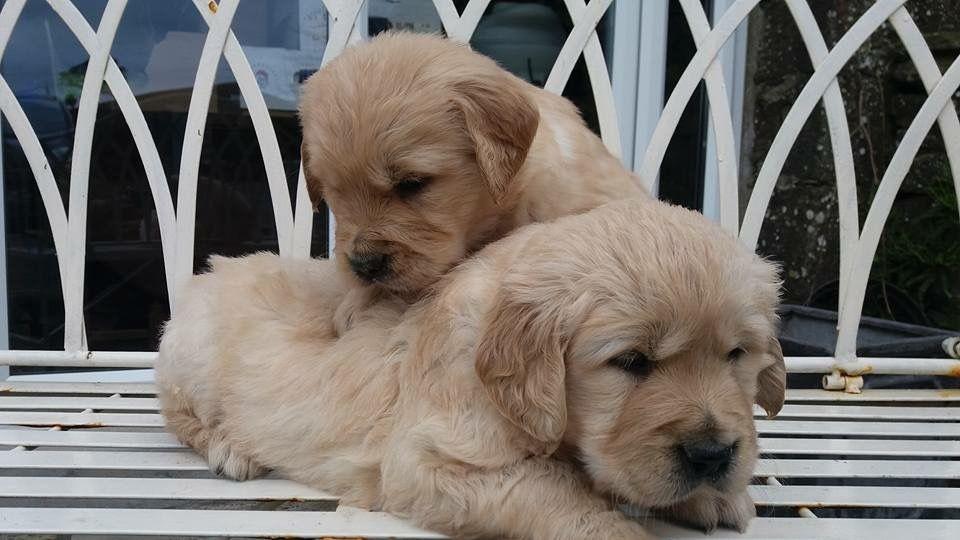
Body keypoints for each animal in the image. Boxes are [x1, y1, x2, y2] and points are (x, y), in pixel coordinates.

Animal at [158, 199, 784, 540]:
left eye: (737, 354)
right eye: (630, 362)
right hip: (191, 356)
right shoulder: (425, 462)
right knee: (182, 418)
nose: (712, 455)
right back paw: (231, 448)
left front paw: (714, 496)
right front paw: (618, 526)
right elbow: (549, 489)